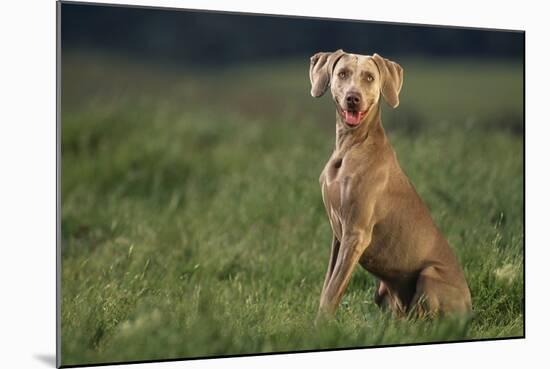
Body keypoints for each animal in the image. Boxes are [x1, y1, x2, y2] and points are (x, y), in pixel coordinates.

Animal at [310, 50, 474, 320]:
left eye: (369, 77)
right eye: (342, 73)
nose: (353, 98)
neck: (351, 145)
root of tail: (471, 309)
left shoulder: (356, 234)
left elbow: (332, 291)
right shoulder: (338, 234)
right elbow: (327, 285)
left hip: (430, 275)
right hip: (383, 291)